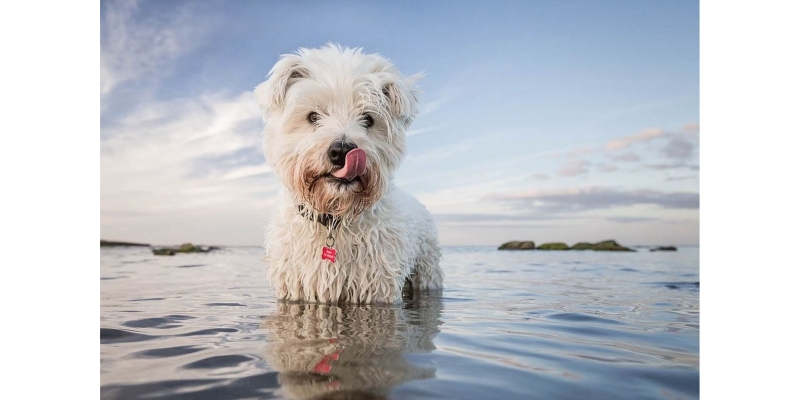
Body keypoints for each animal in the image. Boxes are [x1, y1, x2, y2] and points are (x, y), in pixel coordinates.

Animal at [256, 44, 444, 304]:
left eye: (368, 119)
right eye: (313, 116)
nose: (342, 150)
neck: (334, 216)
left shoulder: (377, 285)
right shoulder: (296, 285)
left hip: (427, 270)